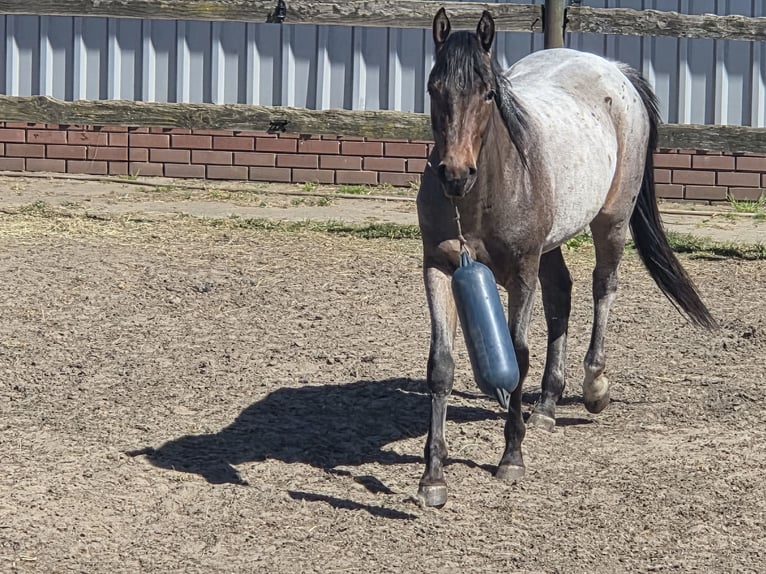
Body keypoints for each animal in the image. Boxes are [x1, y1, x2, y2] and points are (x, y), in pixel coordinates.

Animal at [415, 8, 716, 507]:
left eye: (488, 92)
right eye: (433, 88)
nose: (455, 174)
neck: (481, 196)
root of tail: (614, 68)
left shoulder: (521, 272)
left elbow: (517, 356)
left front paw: (511, 458)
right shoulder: (439, 268)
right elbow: (441, 364)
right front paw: (433, 478)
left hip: (611, 221)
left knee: (603, 288)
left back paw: (594, 387)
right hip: (552, 245)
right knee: (561, 297)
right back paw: (548, 405)